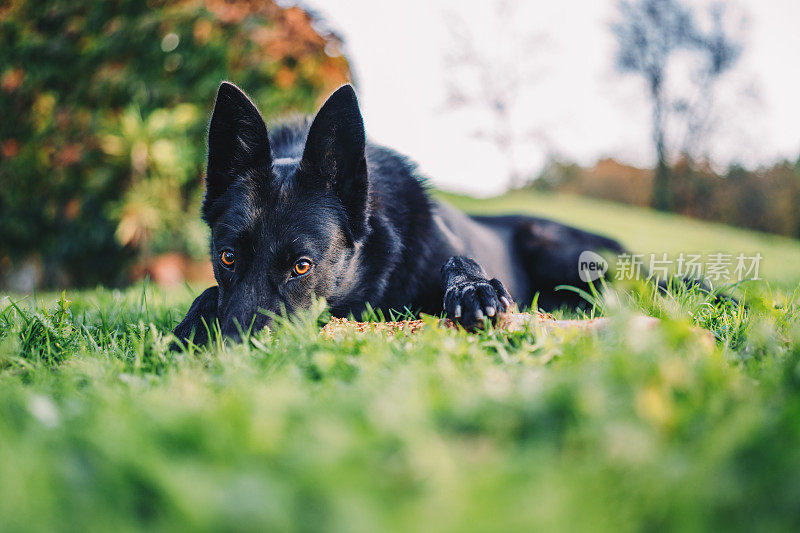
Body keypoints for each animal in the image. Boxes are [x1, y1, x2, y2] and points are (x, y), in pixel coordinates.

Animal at [175, 82, 624, 340]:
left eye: (302, 266)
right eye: (227, 257)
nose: (231, 354)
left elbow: (458, 259)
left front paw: (472, 287)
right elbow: (211, 292)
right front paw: (193, 322)